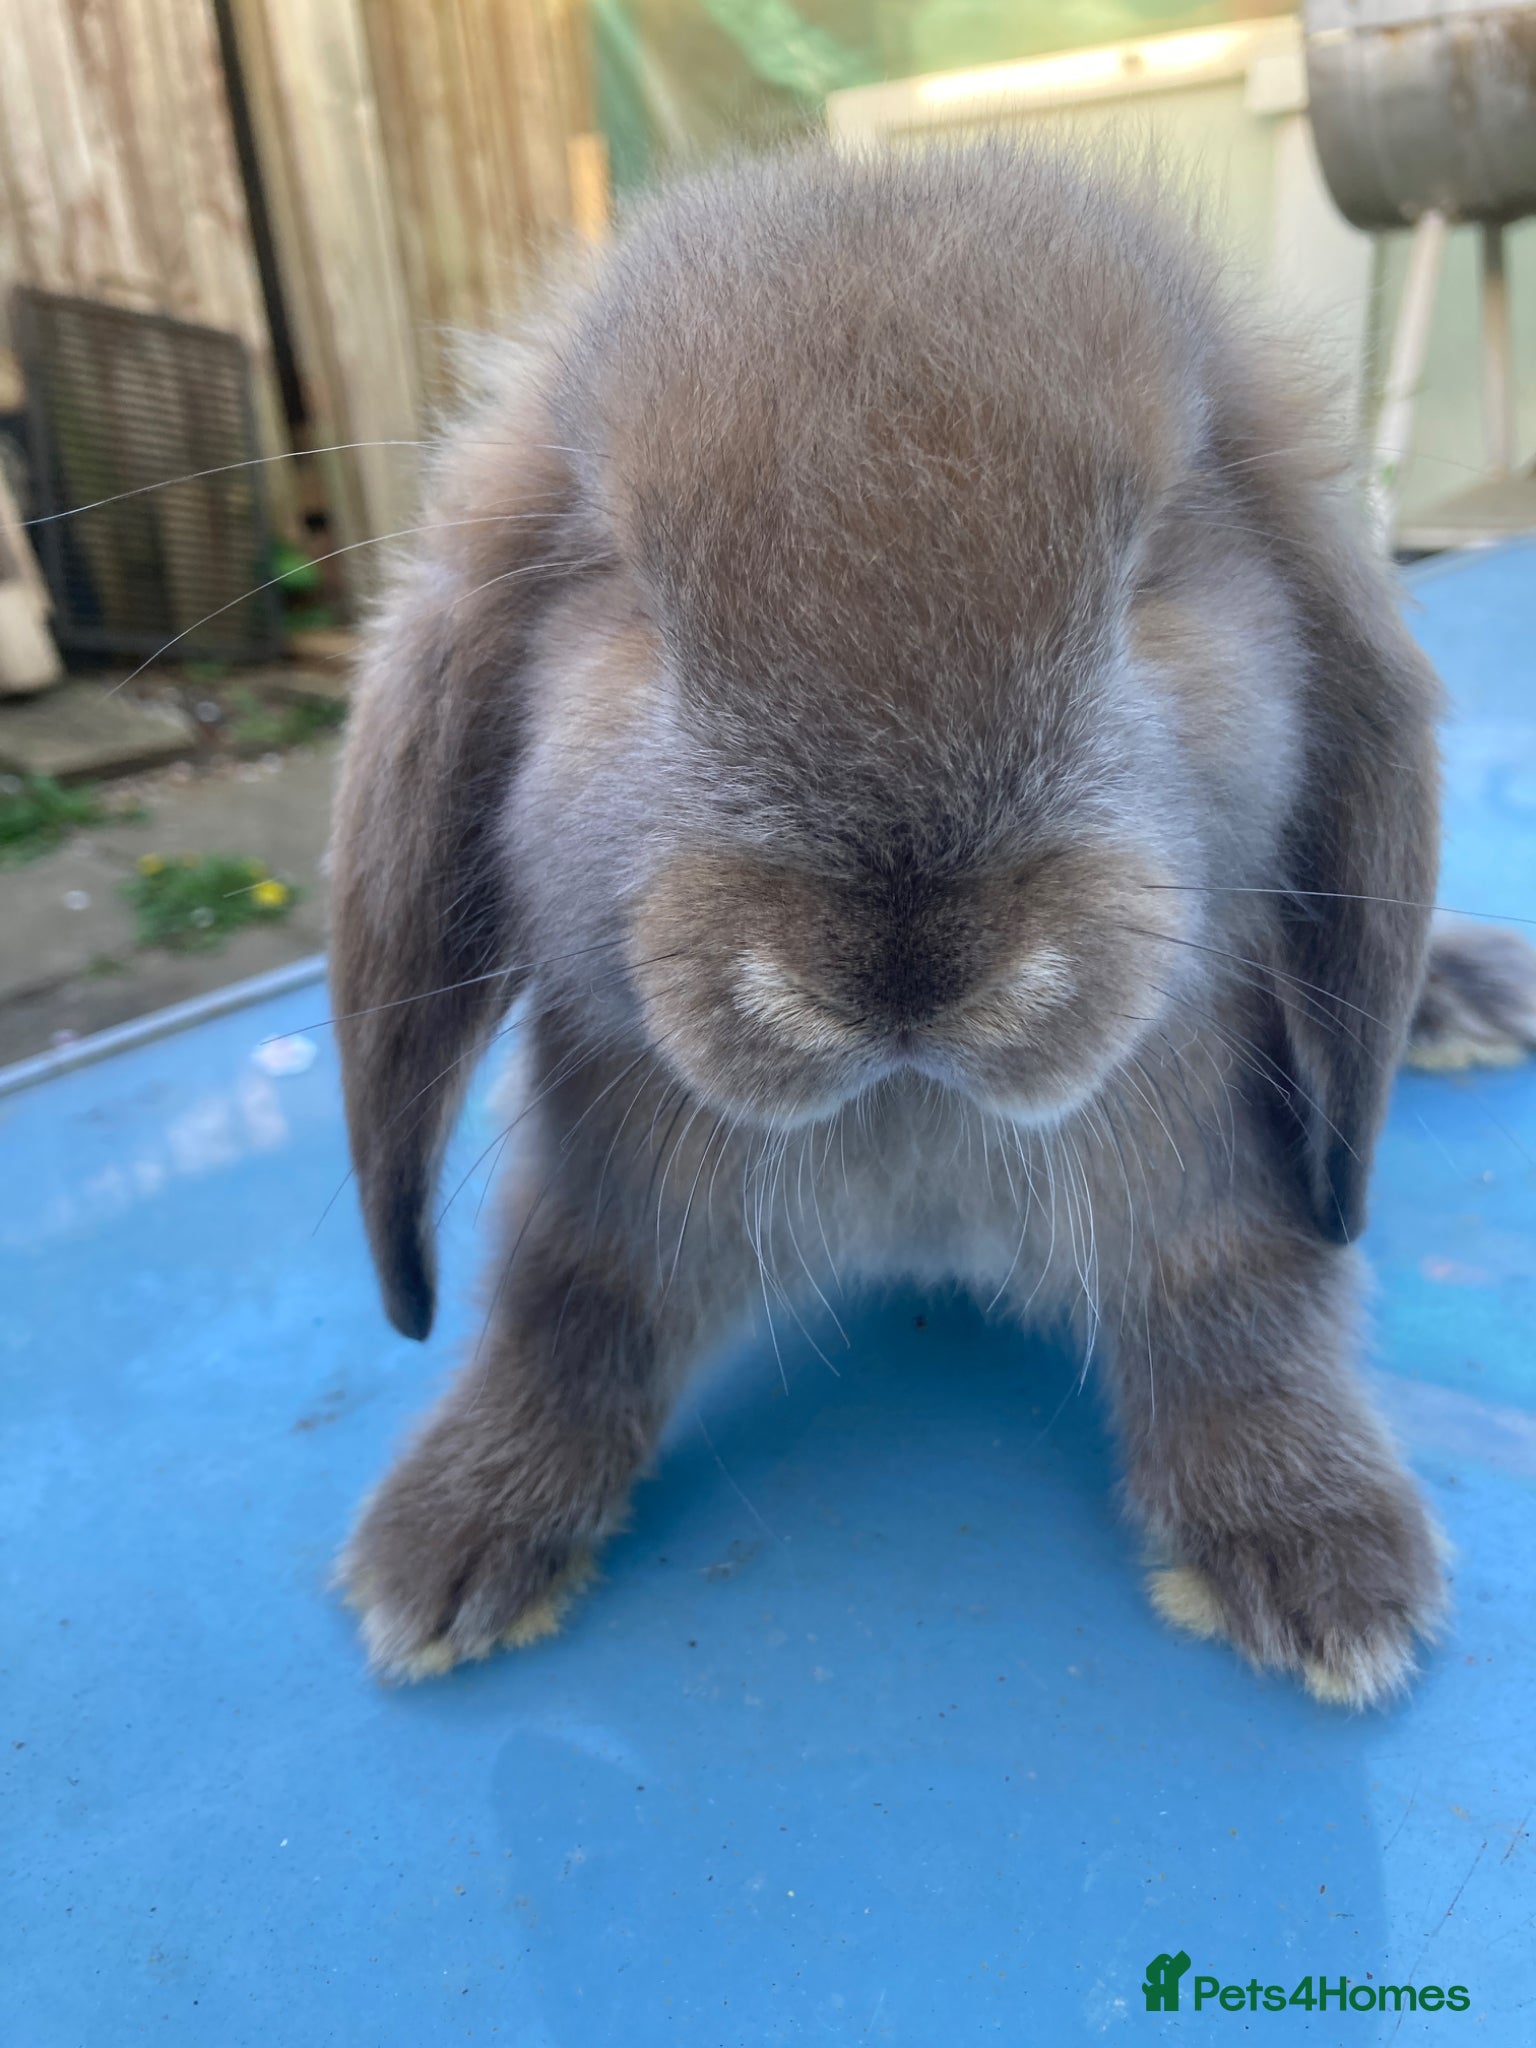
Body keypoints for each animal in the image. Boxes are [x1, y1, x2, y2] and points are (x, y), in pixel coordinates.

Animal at [328, 142, 1532, 1704]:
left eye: (1149, 567)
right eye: (626, 587)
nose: (904, 965)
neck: (911, 1122)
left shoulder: (1227, 1185)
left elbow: (1250, 1312)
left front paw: (1324, 1562)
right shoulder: (607, 1195)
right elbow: (563, 1318)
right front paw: (448, 1544)